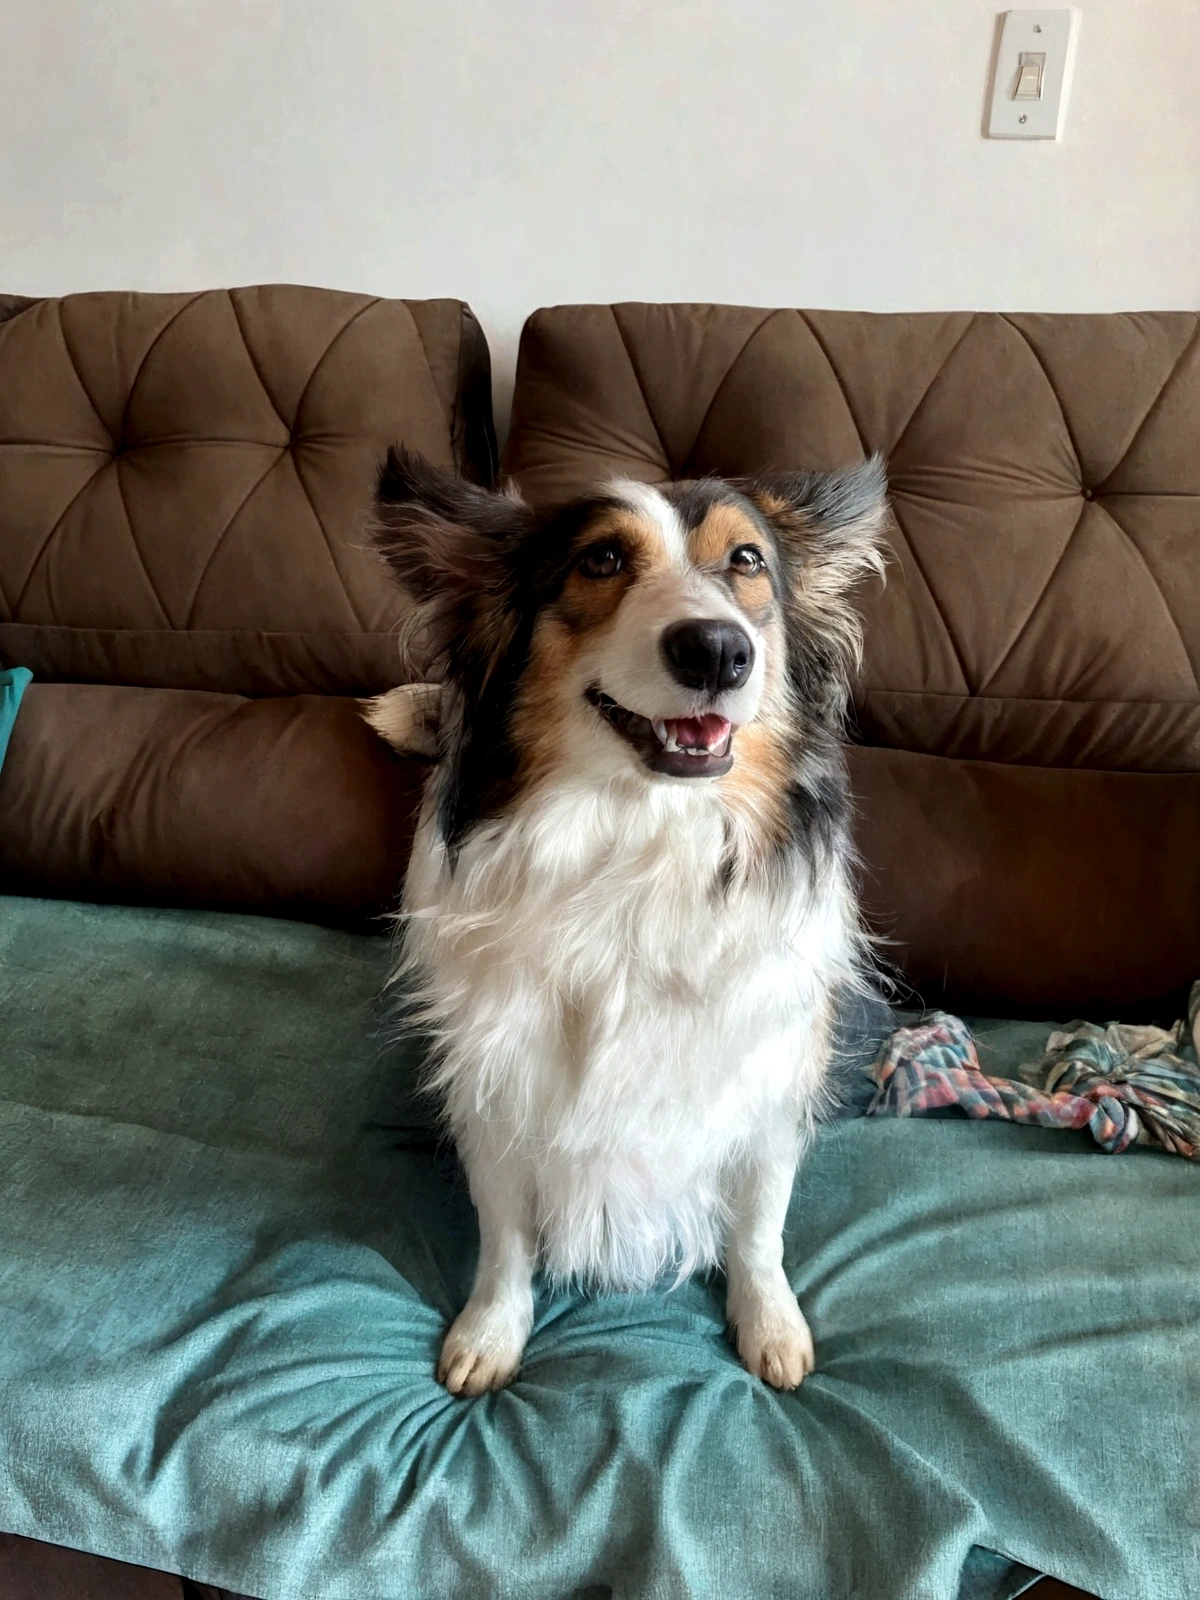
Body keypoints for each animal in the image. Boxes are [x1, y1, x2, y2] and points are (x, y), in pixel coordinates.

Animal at [371, 448, 889, 1388]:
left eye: (747, 561)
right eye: (601, 560)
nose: (719, 649)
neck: (640, 840)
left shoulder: (769, 1076)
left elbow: (760, 1225)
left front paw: (771, 1324)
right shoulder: (498, 1085)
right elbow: (505, 1238)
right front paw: (490, 1334)